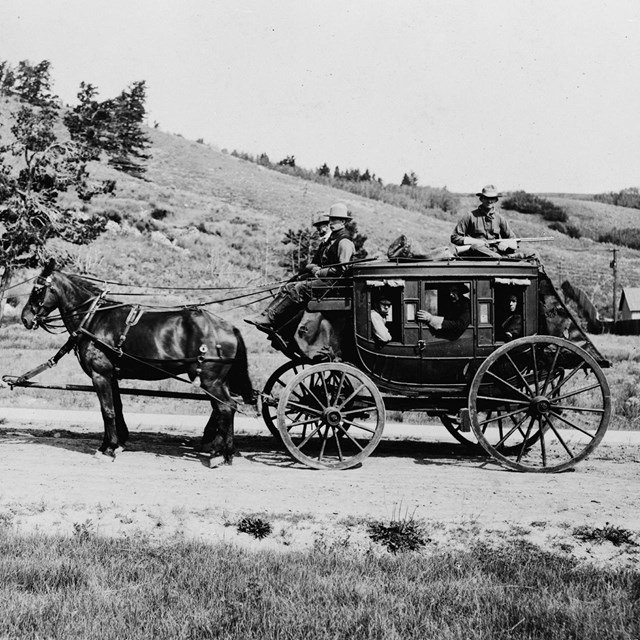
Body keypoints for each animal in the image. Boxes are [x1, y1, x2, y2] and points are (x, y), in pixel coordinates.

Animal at [20, 260, 255, 464]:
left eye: (37, 290)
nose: (25, 318)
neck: (94, 318)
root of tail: (229, 327)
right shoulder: (111, 375)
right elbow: (117, 408)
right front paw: (114, 444)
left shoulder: (100, 374)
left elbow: (107, 411)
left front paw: (108, 450)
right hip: (217, 381)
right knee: (226, 408)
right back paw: (223, 451)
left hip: (210, 380)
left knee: (226, 408)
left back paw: (221, 454)